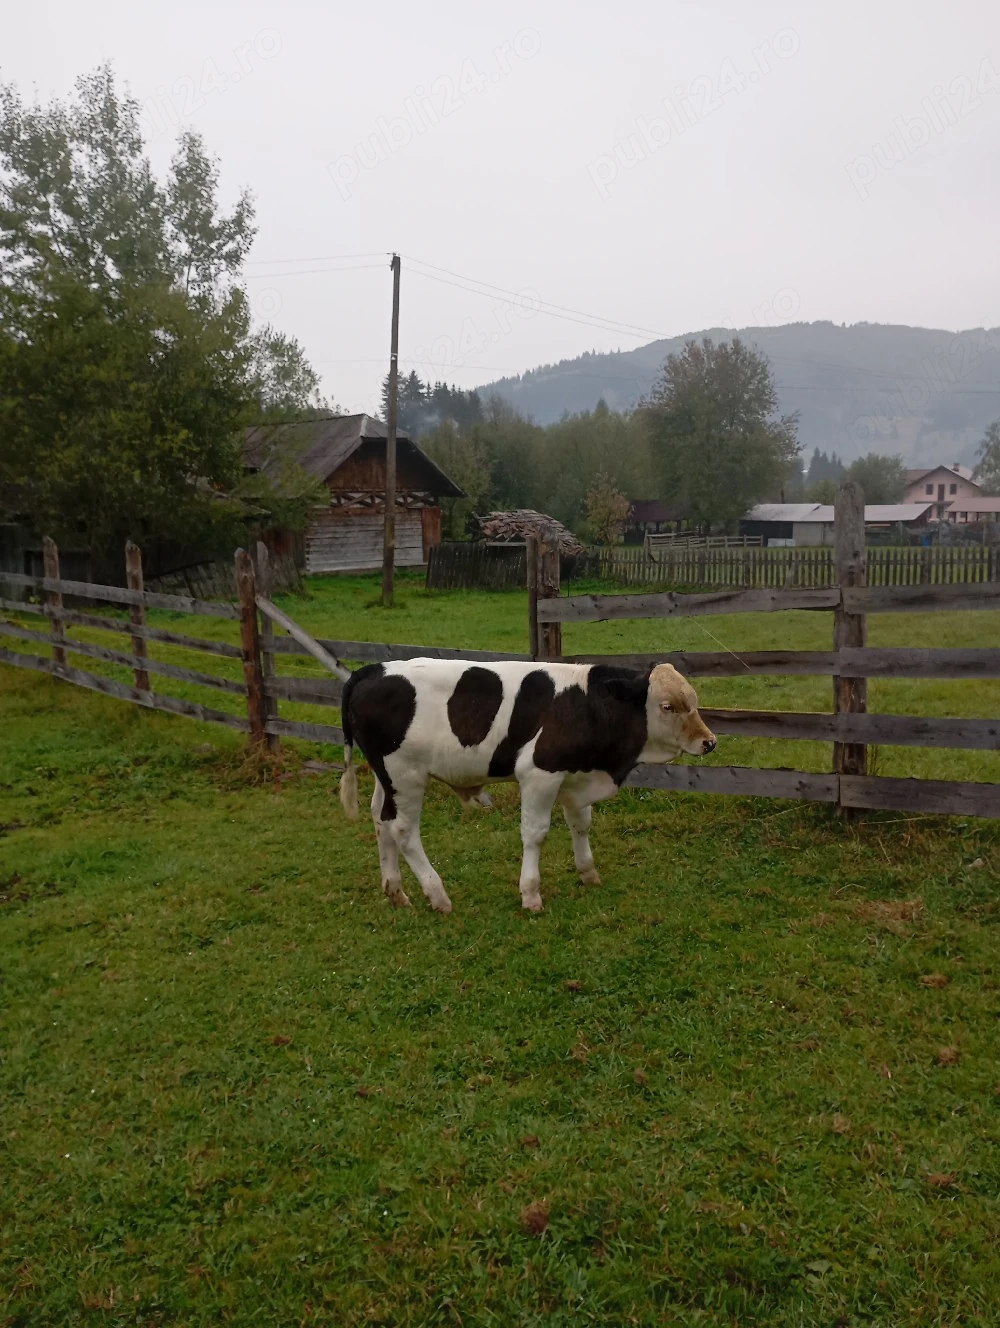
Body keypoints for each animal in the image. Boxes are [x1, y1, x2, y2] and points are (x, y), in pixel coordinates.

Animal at [338, 659, 716, 914]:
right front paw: (531, 894)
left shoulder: (575, 775)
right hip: (406, 774)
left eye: (695, 701)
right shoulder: (539, 774)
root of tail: (371, 670)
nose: (709, 742)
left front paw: (588, 872)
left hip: (386, 776)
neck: (587, 705)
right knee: (402, 829)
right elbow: (535, 834)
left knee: (379, 817)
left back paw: (395, 890)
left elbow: (581, 824)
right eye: (667, 706)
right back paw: (437, 895)